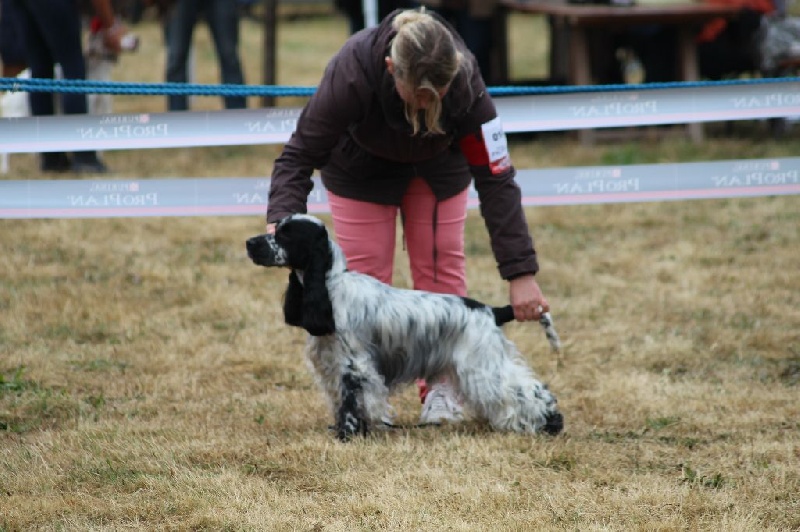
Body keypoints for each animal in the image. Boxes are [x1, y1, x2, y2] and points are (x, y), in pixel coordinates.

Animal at [247, 213, 564, 440]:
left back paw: (551, 424)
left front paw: (347, 434)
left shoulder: (354, 364)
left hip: (482, 366)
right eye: (277, 228)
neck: (331, 285)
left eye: (286, 234)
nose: (250, 243)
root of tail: (490, 311)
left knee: (530, 391)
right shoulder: (333, 364)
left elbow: (352, 402)